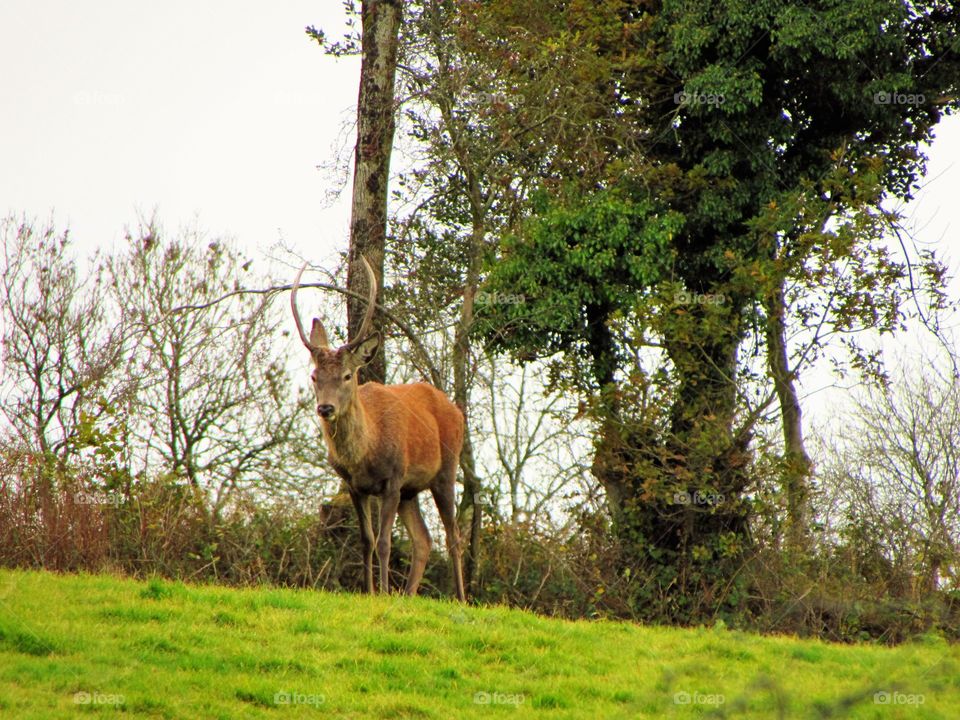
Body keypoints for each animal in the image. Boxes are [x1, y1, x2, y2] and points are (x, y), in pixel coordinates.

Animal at [290, 256, 466, 600]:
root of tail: (456, 410)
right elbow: (367, 541)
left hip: (445, 469)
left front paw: (383, 592)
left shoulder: (393, 479)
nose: (325, 408)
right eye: (315, 376)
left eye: (347, 376)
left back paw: (463, 598)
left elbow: (385, 542)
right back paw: (409, 594)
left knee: (453, 536)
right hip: (412, 491)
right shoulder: (355, 486)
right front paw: (370, 591)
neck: (366, 454)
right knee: (424, 539)